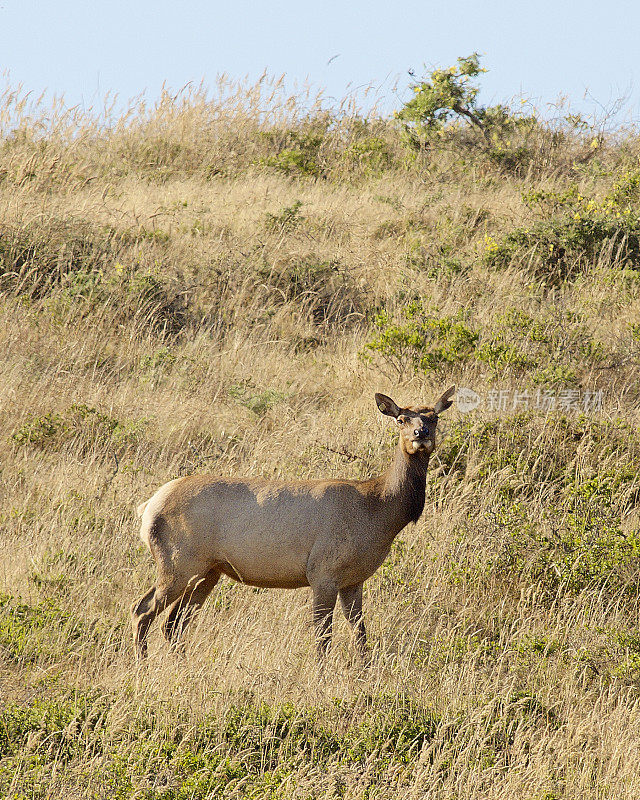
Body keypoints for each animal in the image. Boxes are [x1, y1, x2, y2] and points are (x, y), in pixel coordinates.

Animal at [130, 384, 456, 660]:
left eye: (435, 417)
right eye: (401, 419)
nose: (421, 433)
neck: (379, 512)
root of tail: (147, 509)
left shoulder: (354, 579)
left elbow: (361, 634)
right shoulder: (323, 571)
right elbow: (323, 638)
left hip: (208, 570)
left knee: (173, 623)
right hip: (179, 561)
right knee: (143, 610)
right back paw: (142, 664)